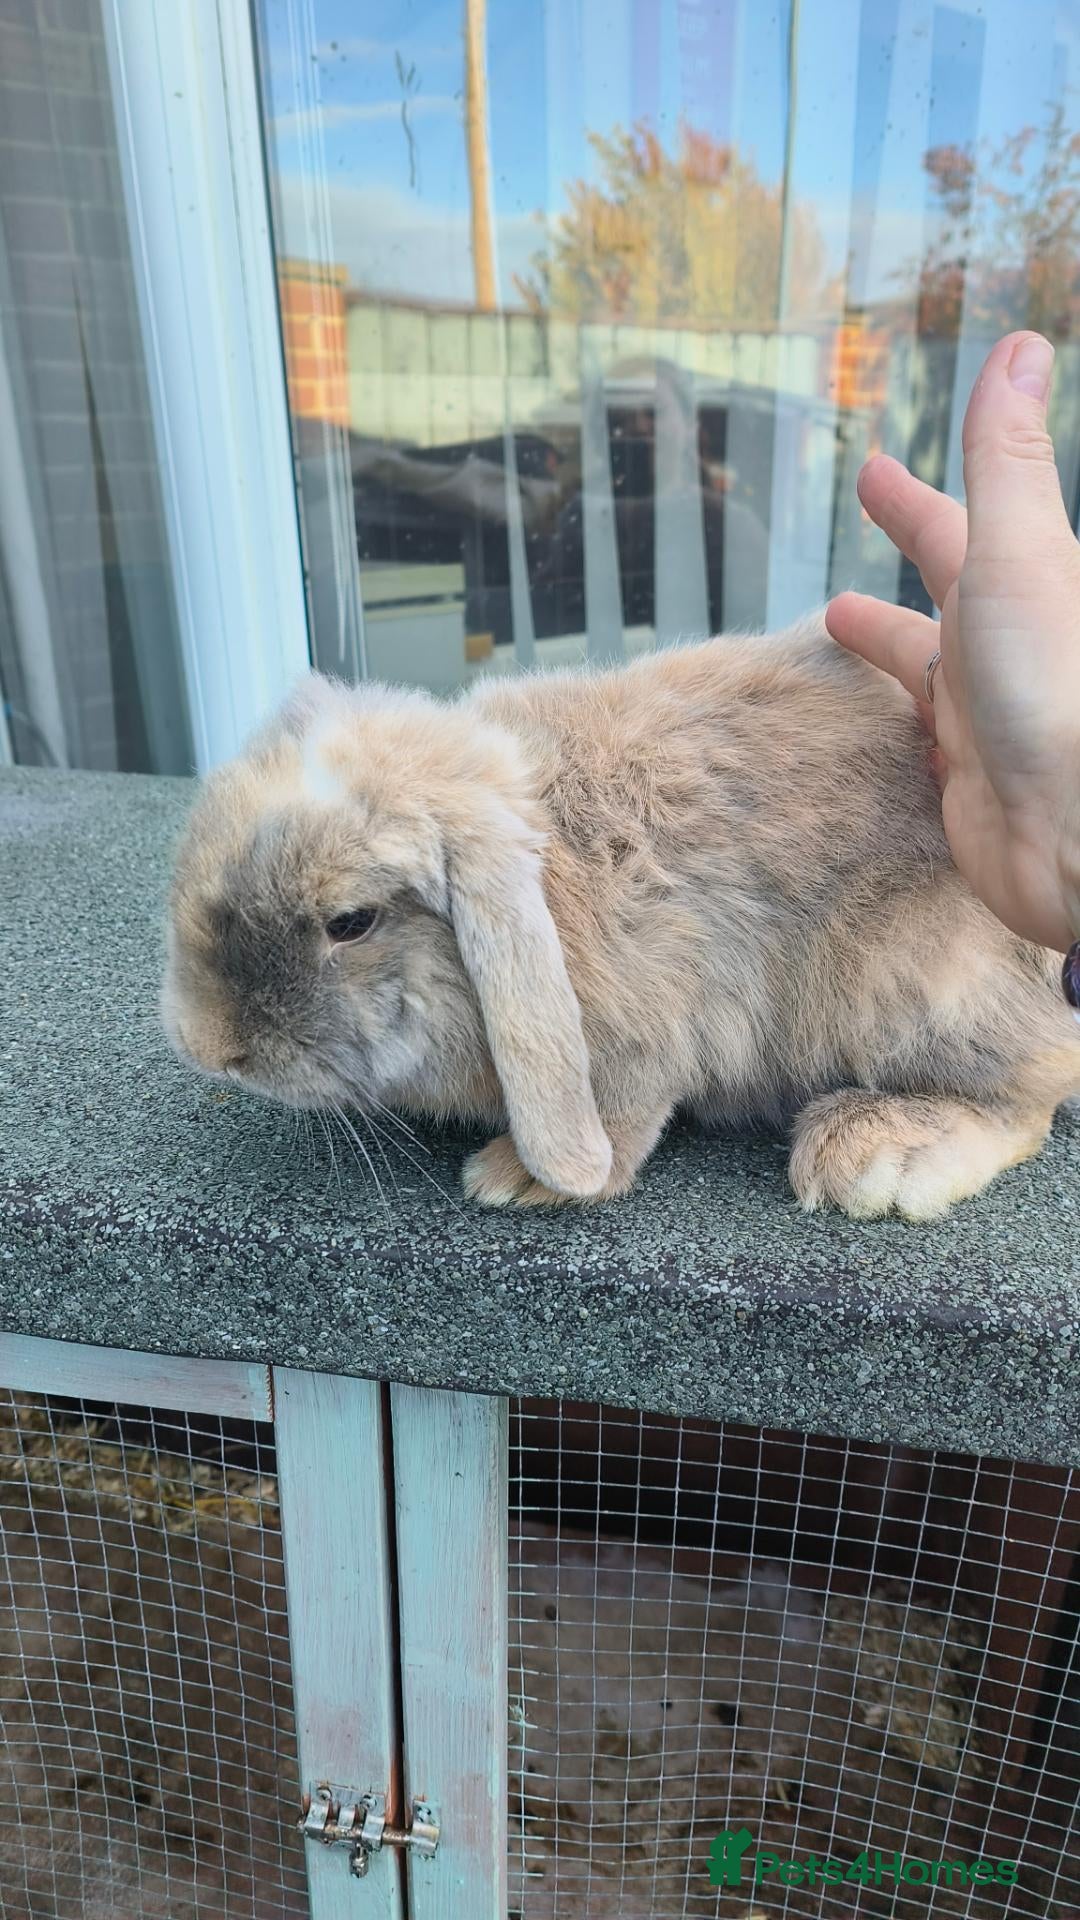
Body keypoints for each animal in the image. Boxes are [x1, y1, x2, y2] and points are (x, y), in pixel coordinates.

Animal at [162, 614, 1080, 1217]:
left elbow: (628, 1109)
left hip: (915, 983)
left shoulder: (653, 1024)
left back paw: (872, 1156)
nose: (209, 1048)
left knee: (1031, 1094)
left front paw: (523, 1179)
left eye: (350, 922)